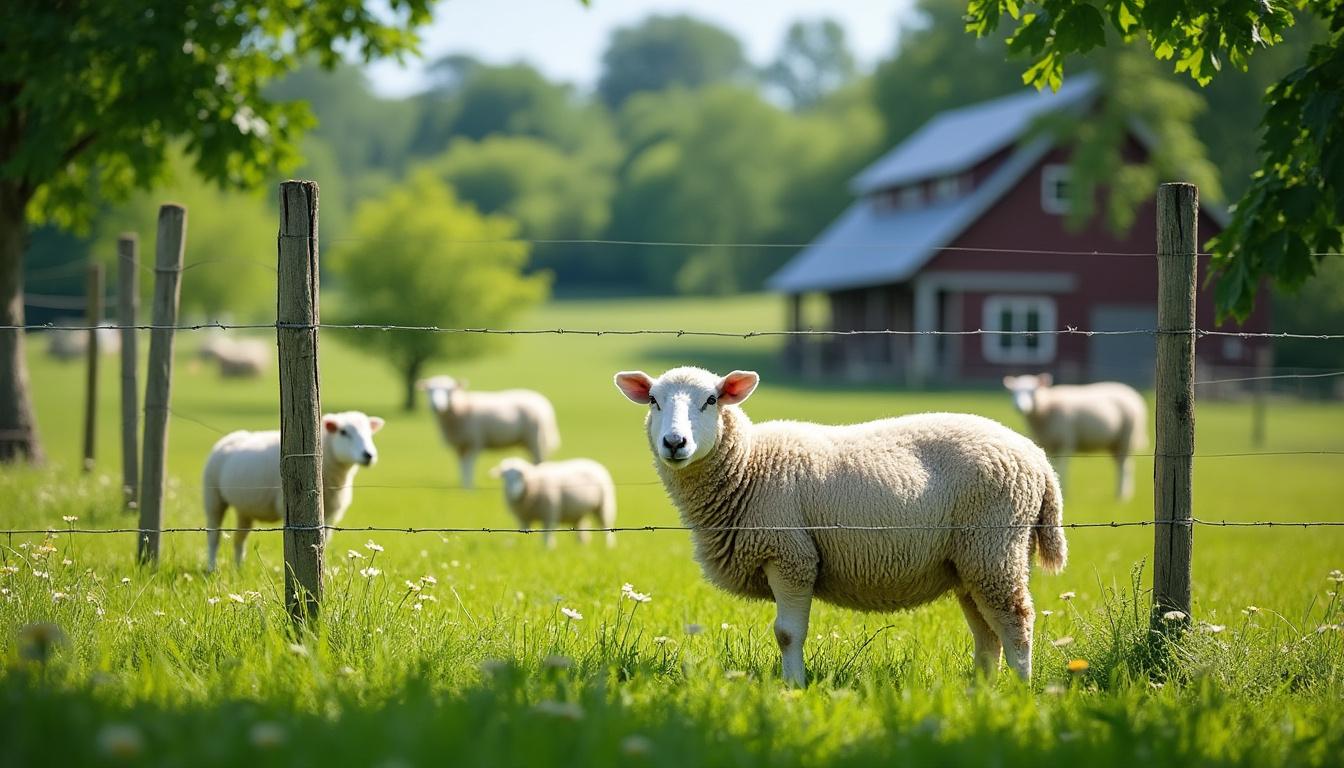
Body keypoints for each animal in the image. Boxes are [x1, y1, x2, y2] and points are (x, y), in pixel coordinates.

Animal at [202, 411, 384, 571]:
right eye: (343, 432)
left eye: (369, 433)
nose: (368, 455)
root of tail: (231, 437)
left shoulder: (330, 515)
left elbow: (324, 542)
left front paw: (323, 569)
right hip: (213, 497)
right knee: (213, 536)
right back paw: (212, 568)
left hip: (244, 508)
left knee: (239, 538)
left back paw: (239, 568)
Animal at [416, 375, 560, 489]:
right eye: (429, 390)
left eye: (450, 390)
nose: (436, 406)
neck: (461, 408)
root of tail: (544, 402)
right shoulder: (460, 445)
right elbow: (462, 466)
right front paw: (463, 486)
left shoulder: (474, 442)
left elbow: (469, 465)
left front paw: (469, 487)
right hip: (528, 441)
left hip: (536, 438)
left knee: (539, 461)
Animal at [488, 457, 617, 548]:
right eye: (504, 476)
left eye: (521, 475)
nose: (513, 492)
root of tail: (593, 463)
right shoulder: (523, 518)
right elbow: (525, 533)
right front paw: (525, 545)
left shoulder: (549, 514)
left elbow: (547, 535)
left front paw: (548, 548)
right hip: (578, 512)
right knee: (582, 532)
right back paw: (581, 547)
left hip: (604, 506)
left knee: (606, 528)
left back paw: (609, 546)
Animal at [614, 366, 1066, 684]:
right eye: (653, 401)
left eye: (710, 400)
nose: (675, 443)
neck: (749, 465)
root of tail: (1038, 459)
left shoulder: (790, 555)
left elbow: (787, 634)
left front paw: (793, 687)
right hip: (972, 561)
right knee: (987, 632)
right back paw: (984, 693)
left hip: (995, 545)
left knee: (1016, 621)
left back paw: (1020, 691)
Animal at [1002, 374, 1148, 501]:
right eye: (1013, 392)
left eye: (1033, 391)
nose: (1019, 407)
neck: (1046, 407)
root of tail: (1132, 392)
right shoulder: (1048, 444)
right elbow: (1052, 467)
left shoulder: (1065, 442)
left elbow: (1063, 468)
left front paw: (1064, 492)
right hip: (1114, 443)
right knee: (1121, 465)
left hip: (1126, 437)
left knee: (1125, 467)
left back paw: (1122, 496)